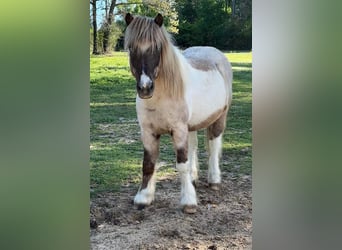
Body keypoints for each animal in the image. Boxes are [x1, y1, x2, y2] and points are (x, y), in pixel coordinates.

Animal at [123, 13, 232, 213]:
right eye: (131, 48)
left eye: (157, 47)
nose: (145, 88)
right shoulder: (148, 132)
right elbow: (148, 164)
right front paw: (144, 197)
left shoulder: (179, 130)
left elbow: (182, 165)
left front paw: (188, 202)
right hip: (192, 126)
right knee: (194, 146)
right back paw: (194, 178)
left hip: (219, 118)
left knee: (213, 146)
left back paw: (214, 180)